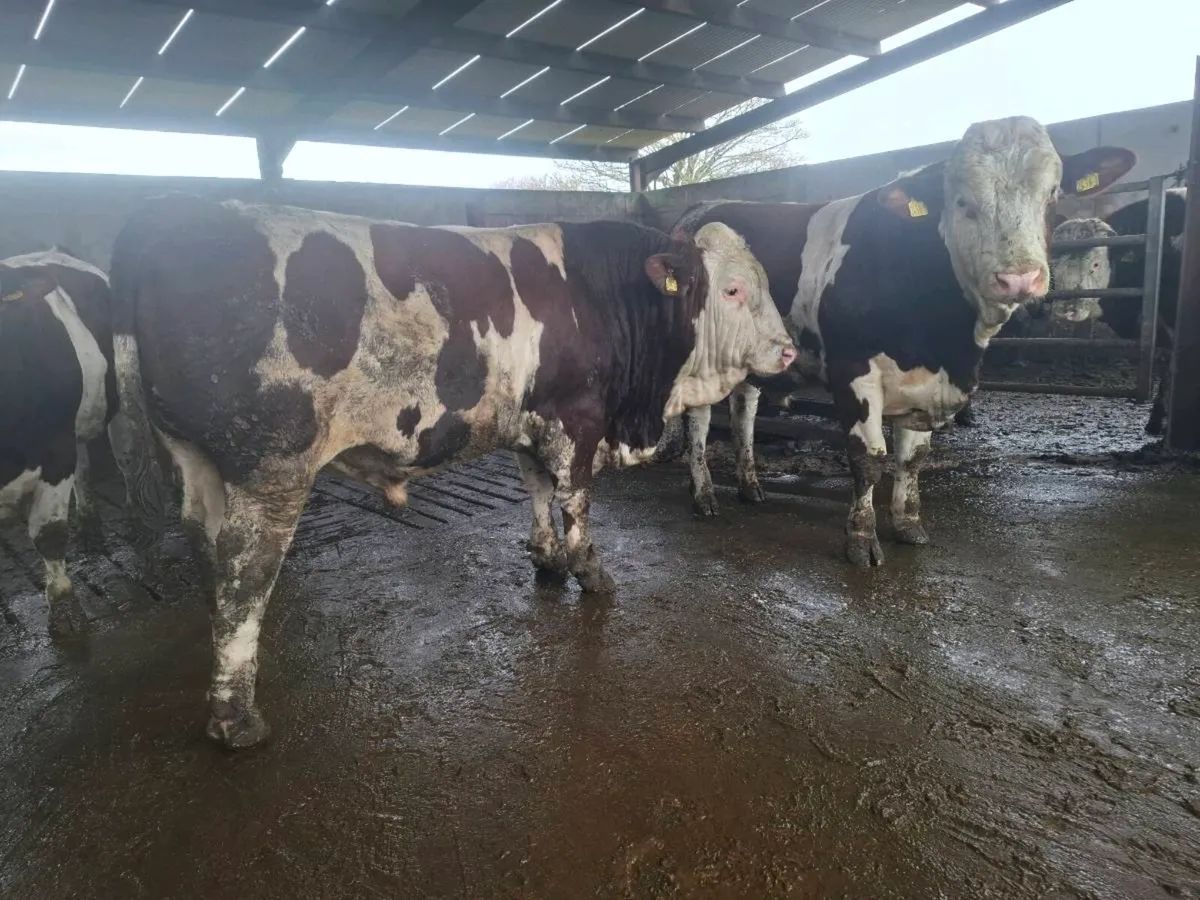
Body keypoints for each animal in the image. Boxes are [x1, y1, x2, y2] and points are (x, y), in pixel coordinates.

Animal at [110, 195, 796, 748]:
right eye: (733, 290)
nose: (789, 350)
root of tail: (160, 220)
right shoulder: (578, 419)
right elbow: (575, 499)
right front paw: (591, 573)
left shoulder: (530, 420)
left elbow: (536, 489)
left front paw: (547, 561)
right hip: (272, 467)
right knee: (247, 570)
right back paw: (235, 717)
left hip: (195, 459)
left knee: (210, 553)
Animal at [671, 117, 1136, 568]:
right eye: (961, 201)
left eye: (1051, 195)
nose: (1019, 277)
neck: (943, 344)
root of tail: (697, 212)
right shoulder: (853, 372)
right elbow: (869, 459)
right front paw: (861, 541)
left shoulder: (927, 387)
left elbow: (911, 459)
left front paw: (908, 525)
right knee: (698, 420)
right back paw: (704, 495)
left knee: (744, 412)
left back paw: (750, 485)